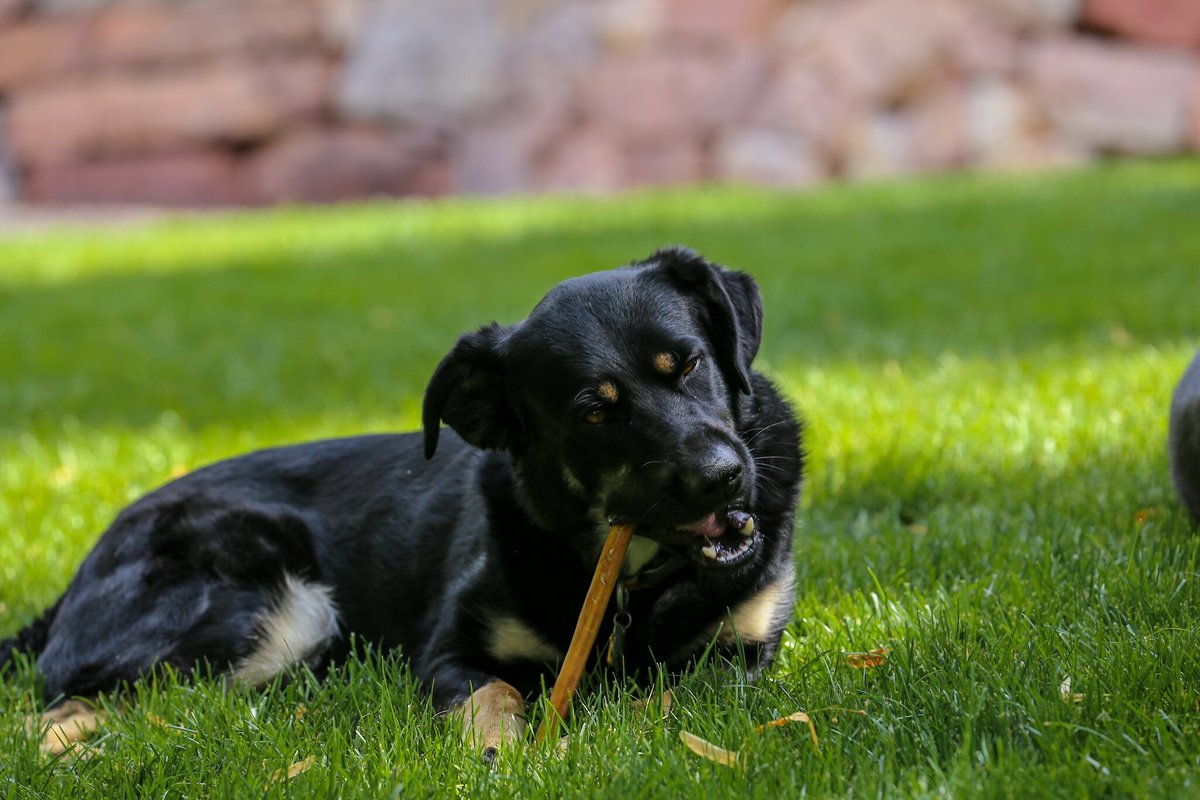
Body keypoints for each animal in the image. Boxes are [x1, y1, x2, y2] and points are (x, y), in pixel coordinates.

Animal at [4, 247, 806, 753]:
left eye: (689, 364)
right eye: (593, 412)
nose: (722, 475)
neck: (628, 573)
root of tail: (77, 576)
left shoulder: (738, 656)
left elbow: (663, 698)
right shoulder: (449, 652)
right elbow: (496, 695)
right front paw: (502, 753)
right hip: (276, 608)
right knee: (67, 703)